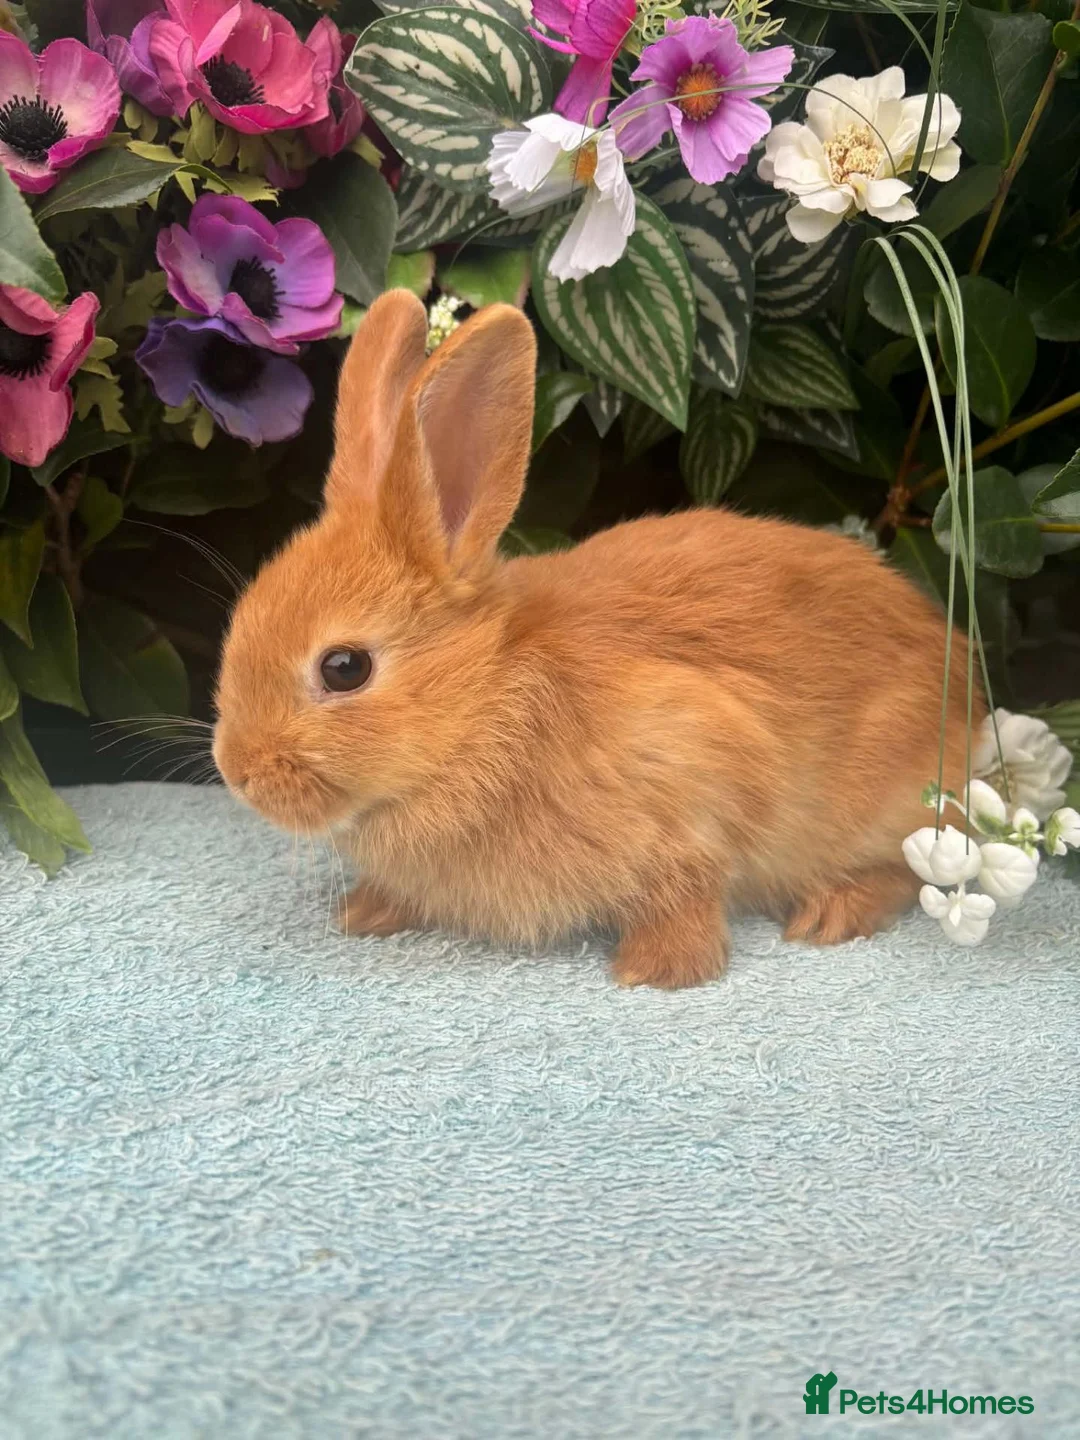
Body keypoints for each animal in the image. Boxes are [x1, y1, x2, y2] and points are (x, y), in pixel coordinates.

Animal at [213, 288, 981, 988]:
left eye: (344, 667)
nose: (236, 772)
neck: (486, 698)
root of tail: (964, 694)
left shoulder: (689, 773)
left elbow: (687, 887)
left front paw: (658, 970)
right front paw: (366, 911)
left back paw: (833, 911)